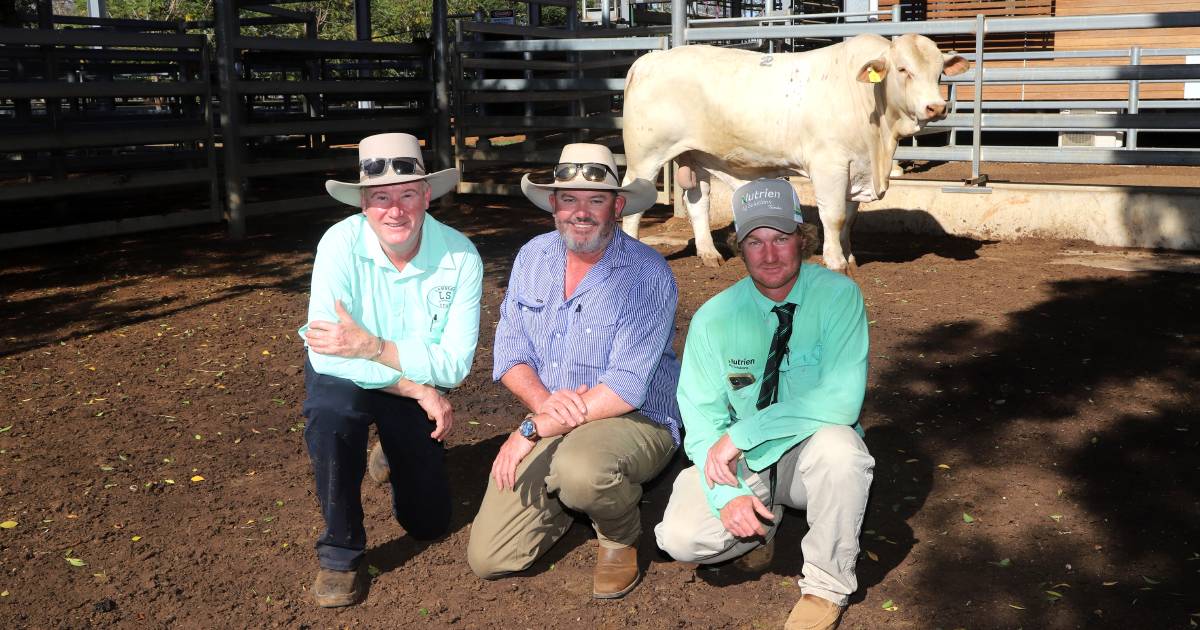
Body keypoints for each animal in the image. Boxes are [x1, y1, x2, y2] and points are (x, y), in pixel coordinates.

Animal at [619, 33, 964, 270]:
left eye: (939, 72)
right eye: (903, 69)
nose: (936, 107)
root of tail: (651, 58)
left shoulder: (857, 167)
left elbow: (850, 218)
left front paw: (850, 257)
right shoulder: (829, 164)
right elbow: (834, 215)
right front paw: (836, 262)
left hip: (696, 154)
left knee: (698, 202)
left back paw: (709, 254)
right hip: (645, 156)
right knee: (634, 204)